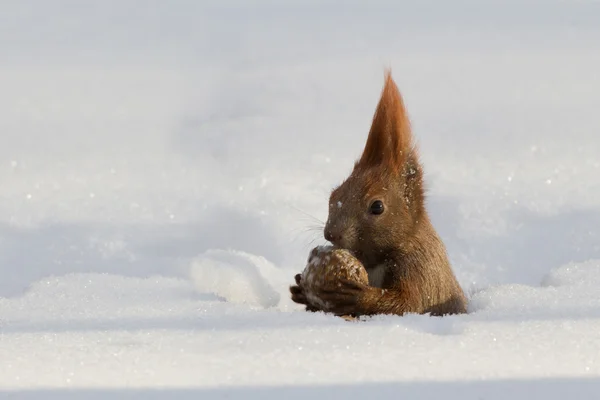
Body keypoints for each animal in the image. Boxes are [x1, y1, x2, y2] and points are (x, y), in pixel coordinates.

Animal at [290, 70, 468, 318]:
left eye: (377, 207)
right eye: (333, 195)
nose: (331, 234)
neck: (375, 259)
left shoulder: (423, 270)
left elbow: (410, 304)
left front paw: (356, 296)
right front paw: (302, 289)